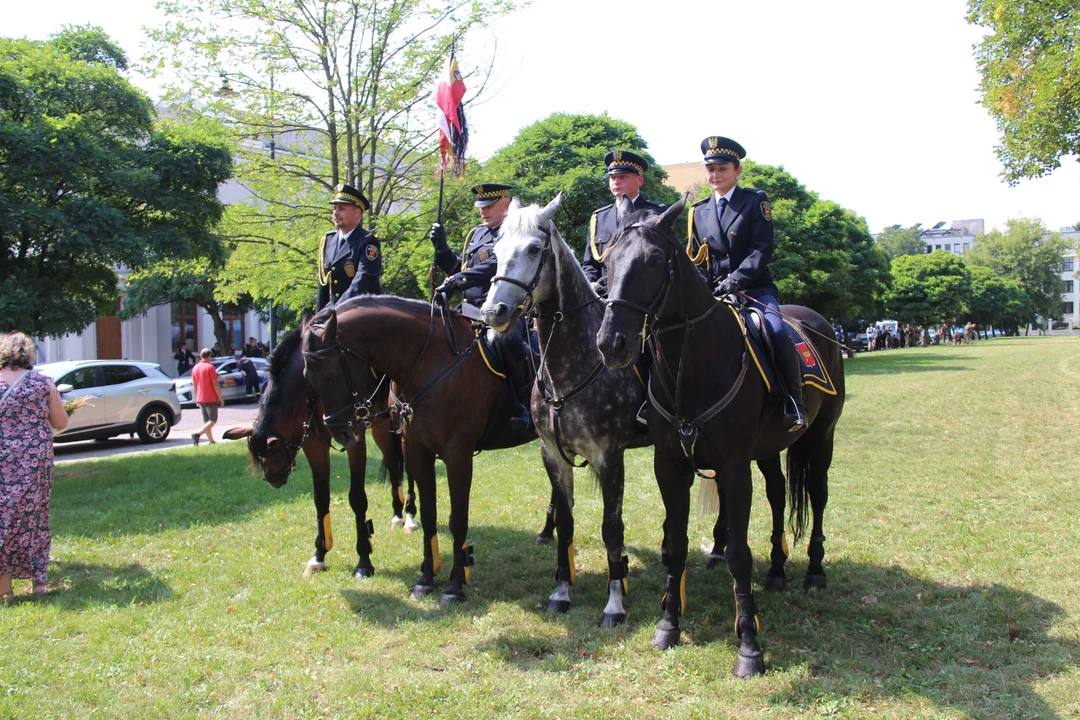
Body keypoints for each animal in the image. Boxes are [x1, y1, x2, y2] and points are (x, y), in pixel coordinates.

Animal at [223, 325, 416, 578]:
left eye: (274, 451)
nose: (272, 478)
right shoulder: (313, 445)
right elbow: (320, 498)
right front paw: (319, 555)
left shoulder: (355, 439)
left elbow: (357, 498)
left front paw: (364, 560)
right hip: (381, 427)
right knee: (393, 464)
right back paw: (397, 514)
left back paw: (411, 516)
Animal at [300, 295, 535, 604]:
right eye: (307, 375)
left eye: (330, 374)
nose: (340, 431)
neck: (428, 361)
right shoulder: (415, 451)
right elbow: (429, 514)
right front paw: (425, 579)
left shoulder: (458, 455)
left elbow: (458, 519)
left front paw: (455, 585)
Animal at [483, 194, 648, 626]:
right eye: (495, 252)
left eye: (533, 249)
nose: (494, 313)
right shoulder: (553, 455)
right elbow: (567, 521)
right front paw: (560, 591)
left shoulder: (610, 457)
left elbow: (612, 528)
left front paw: (614, 602)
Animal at [600, 194, 842, 677]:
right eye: (608, 260)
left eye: (652, 260)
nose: (611, 343)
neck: (692, 363)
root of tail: (817, 323)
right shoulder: (671, 465)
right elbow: (675, 546)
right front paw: (668, 627)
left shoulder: (731, 466)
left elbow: (737, 555)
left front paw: (749, 646)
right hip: (767, 450)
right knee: (779, 494)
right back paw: (778, 571)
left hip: (820, 438)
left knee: (818, 496)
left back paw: (814, 571)